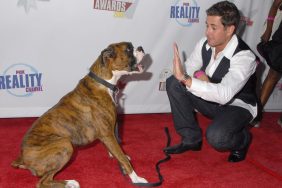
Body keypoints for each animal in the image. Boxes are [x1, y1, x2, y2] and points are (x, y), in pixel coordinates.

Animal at [11, 41, 148, 187]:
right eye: (128, 49)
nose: (141, 48)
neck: (104, 82)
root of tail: (22, 158)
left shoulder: (110, 133)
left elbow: (117, 151)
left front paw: (116, 157)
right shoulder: (107, 134)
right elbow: (122, 158)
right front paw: (136, 178)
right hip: (65, 144)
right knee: (43, 182)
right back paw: (70, 182)